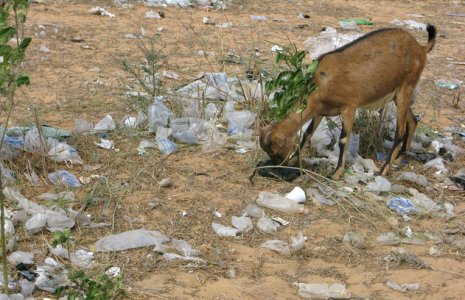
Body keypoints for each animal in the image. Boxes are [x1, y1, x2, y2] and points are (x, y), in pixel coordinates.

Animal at [260, 24, 436, 179]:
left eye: (274, 150)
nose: (280, 164)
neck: (323, 82)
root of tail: (421, 48)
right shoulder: (320, 110)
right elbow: (307, 133)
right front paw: (294, 160)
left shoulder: (350, 106)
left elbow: (343, 139)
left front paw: (336, 173)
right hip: (398, 96)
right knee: (413, 121)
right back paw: (399, 158)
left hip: (406, 88)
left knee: (400, 131)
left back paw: (383, 170)